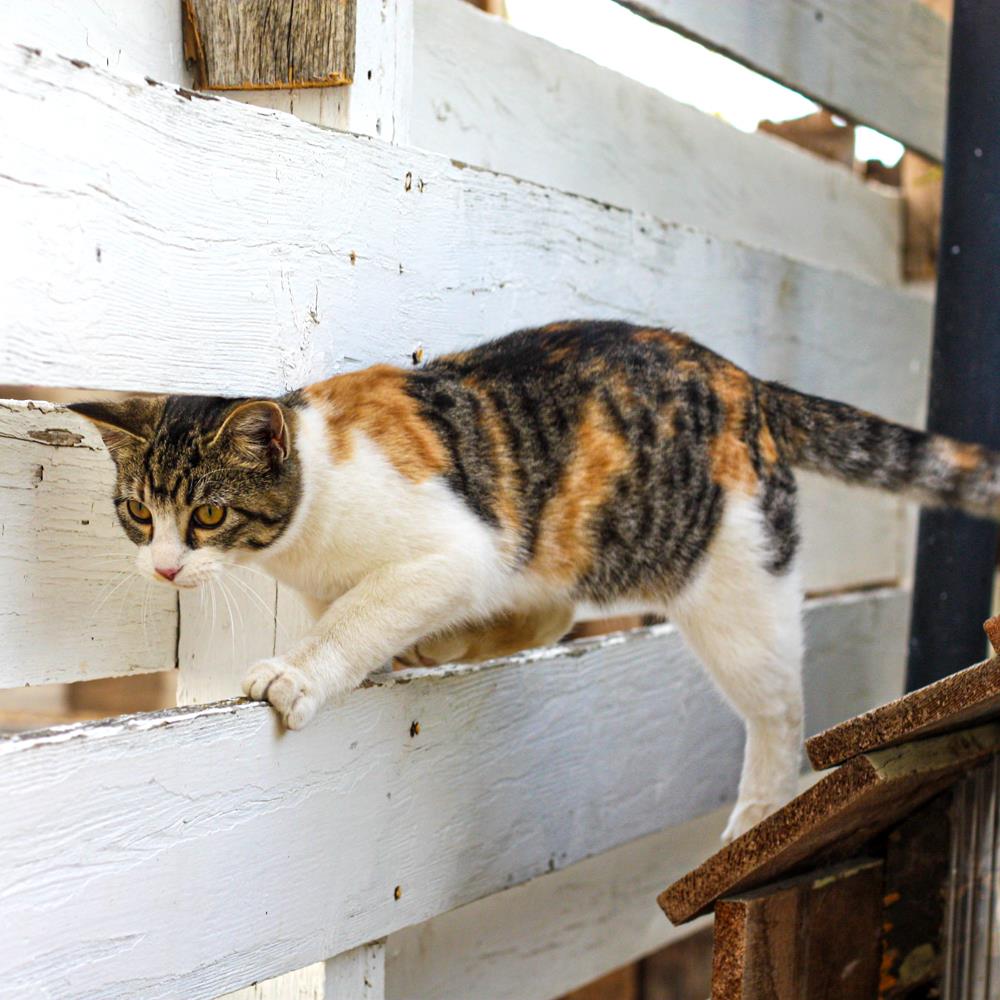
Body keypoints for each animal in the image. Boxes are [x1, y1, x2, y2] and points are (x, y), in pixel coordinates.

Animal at [70, 322, 1000, 844]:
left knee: (778, 710)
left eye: (209, 515)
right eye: (137, 512)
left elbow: (363, 613)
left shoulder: (461, 548)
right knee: (552, 609)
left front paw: (296, 675)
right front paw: (405, 653)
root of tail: (748, 384)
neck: (311, 513)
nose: (164, 565)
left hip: (736, 576)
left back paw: (754, 821)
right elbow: (372, 614)